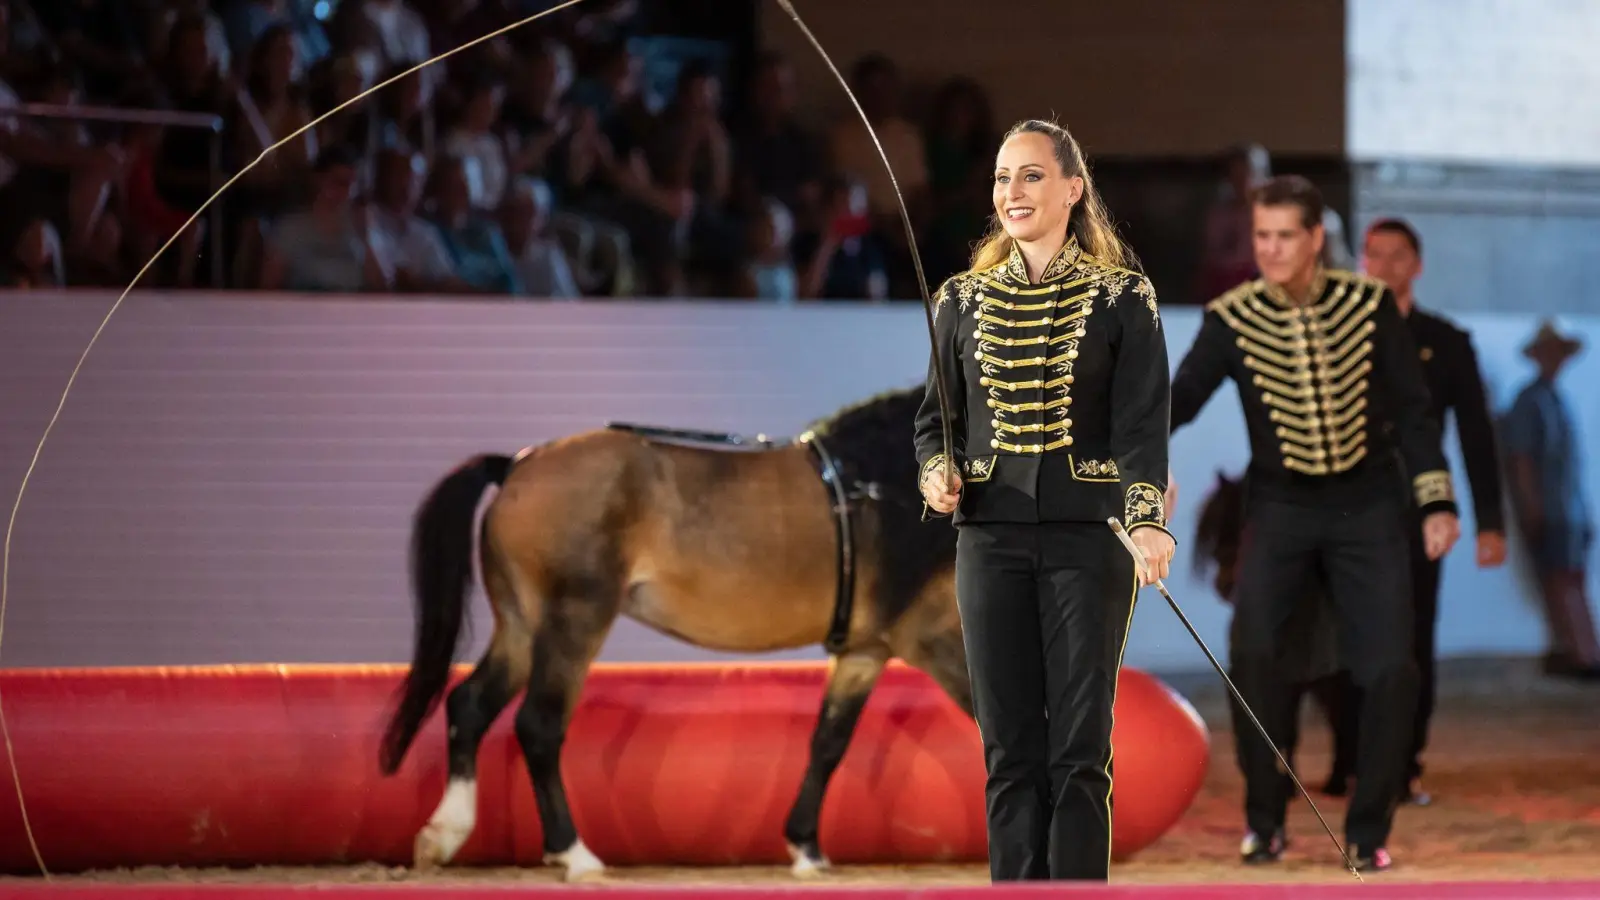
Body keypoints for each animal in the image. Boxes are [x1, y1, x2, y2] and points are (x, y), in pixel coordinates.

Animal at [379, 384, 966, 877]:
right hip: (575, 620)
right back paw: (574, 854)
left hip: (522, 627)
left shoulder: (865, 650)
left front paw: (806, 847)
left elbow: (829, 741)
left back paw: (443, 834)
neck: (885, 482)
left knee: (470, 705)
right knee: (538, 725)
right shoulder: (928, 637)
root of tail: (518, 464)